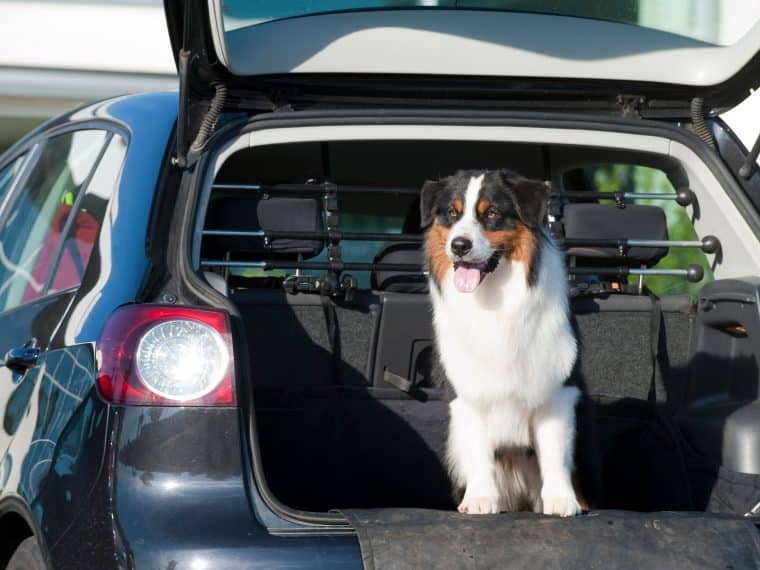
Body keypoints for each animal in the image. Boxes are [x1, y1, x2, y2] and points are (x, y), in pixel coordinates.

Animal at [422, 168, 580, 516]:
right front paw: (480, 499)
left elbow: (554, 453)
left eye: (492, 213)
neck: (494, 296)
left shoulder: (556, 390)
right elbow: (478, 451)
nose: (459, 245)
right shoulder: (468, 393)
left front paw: (562, 500)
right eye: (451, 213)